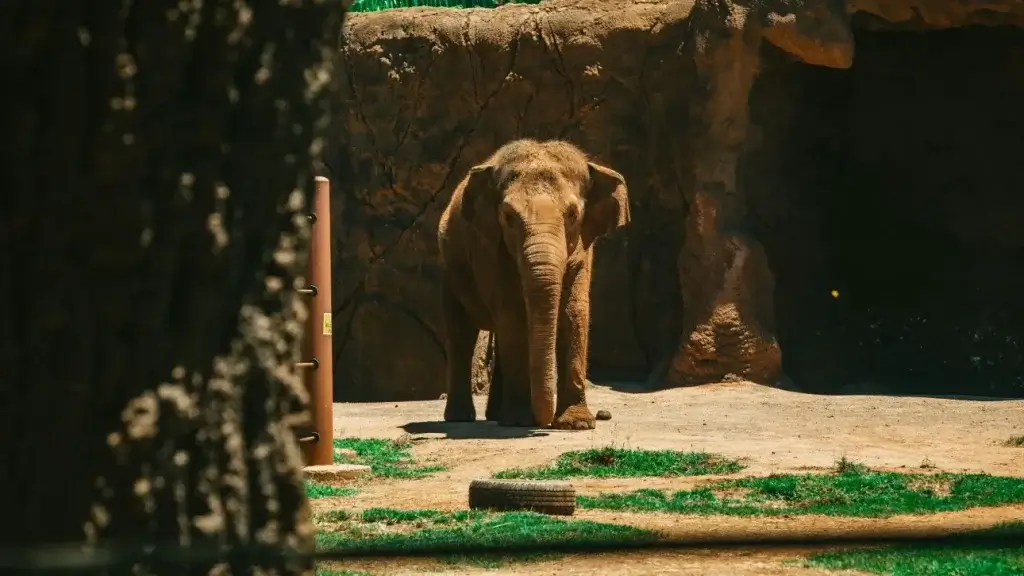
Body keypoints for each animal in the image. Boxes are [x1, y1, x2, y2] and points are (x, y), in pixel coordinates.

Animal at [437, 139, 630, 429]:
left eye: (573, 215)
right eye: (508, 217)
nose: (544, 422)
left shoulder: (583, 250)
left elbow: (574, 314)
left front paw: (576, 425)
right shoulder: (492, 250)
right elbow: (514, 315)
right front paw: (519, 422)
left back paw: (496, 416)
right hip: (450, 268)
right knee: (461, 333)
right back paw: (463, 418)